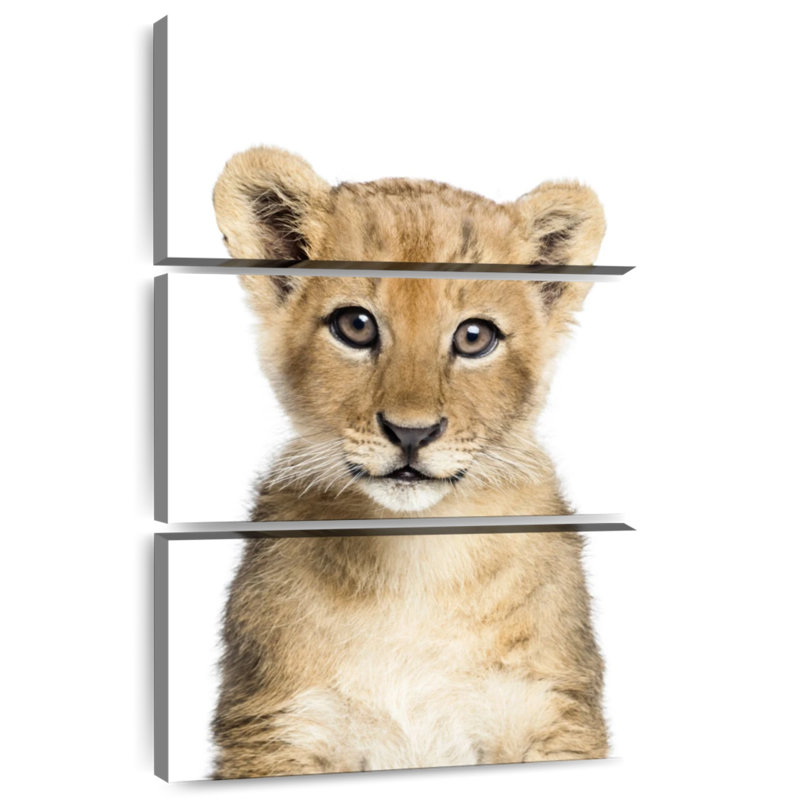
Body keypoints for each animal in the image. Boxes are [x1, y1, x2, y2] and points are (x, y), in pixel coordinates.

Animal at [210, 146, 609, 778]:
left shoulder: (552, 715)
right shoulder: (278, 727)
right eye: (355, 325)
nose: (411, 433)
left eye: (474, 336)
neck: (417, 559)